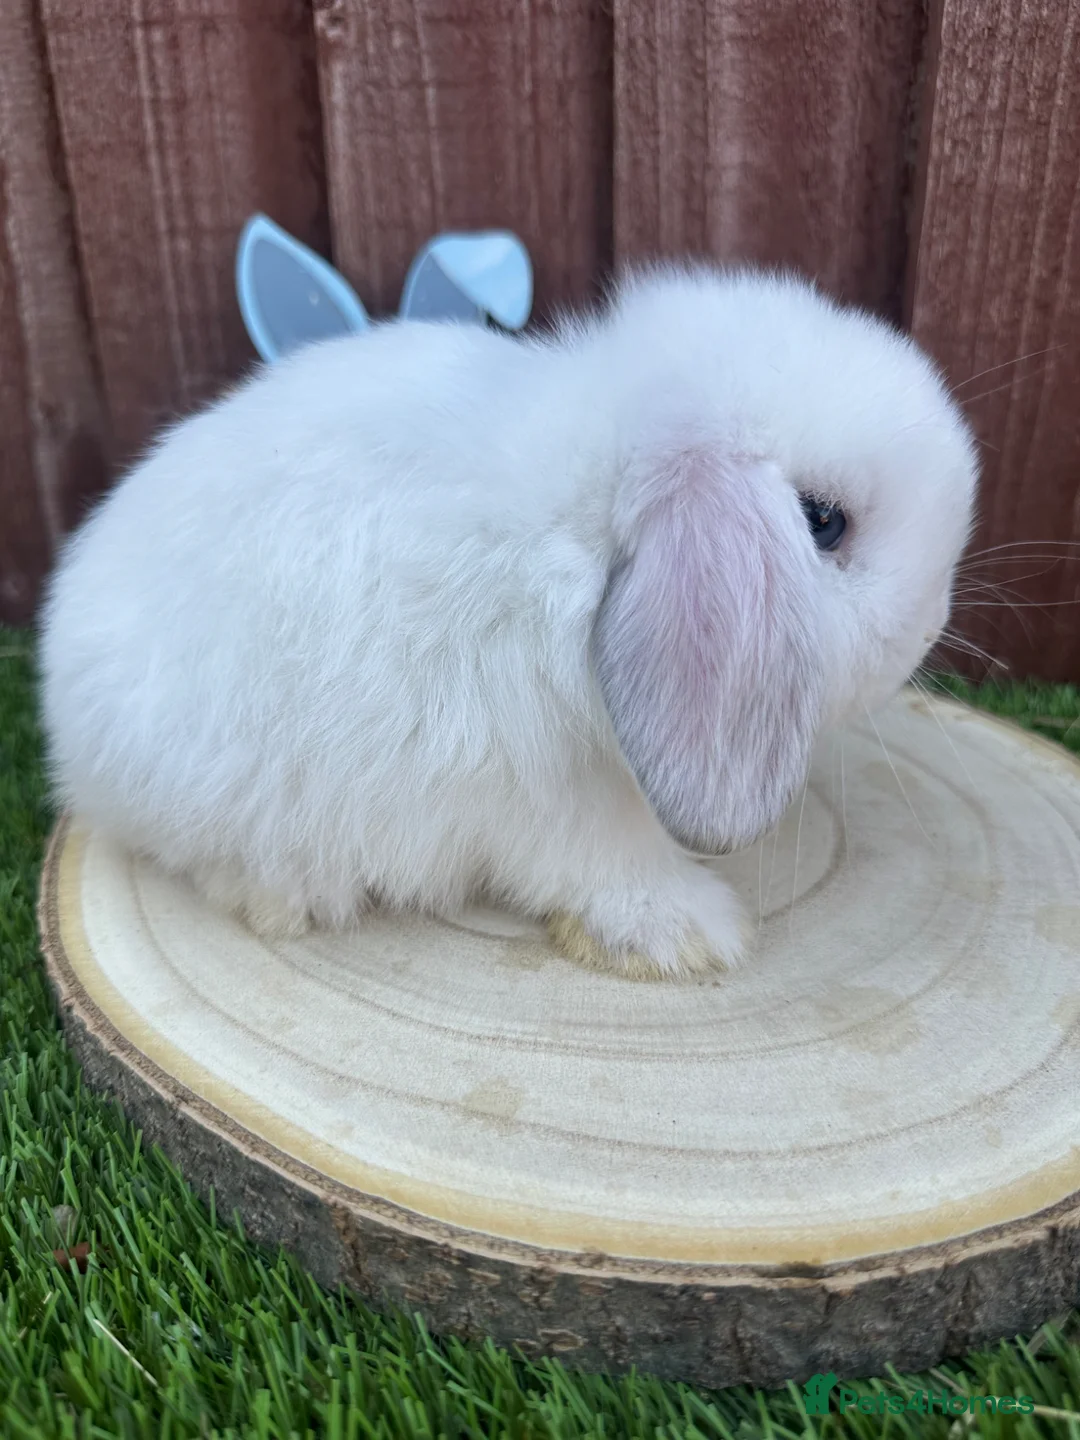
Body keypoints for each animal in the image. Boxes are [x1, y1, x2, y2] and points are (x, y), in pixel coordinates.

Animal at [39, 264, 978, 979]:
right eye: (823, 523)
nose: (929, 627)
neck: (580, 533)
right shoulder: (550, 791)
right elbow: (608, 865)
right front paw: (689, 933)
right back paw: (291, 896)